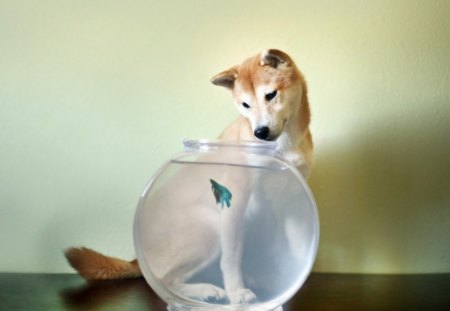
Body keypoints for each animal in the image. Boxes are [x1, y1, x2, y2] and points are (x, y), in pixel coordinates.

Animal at [66, 49, 312, 308]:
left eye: (271, 95)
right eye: (245, 105)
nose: (260, 132)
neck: (282, 148)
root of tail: (138, 258)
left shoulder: (294, 203)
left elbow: (299, 246)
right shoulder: (236, 200)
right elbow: (232, 257)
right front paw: (237, 293)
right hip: (209, 228)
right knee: (166, 281)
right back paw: (204, 291)